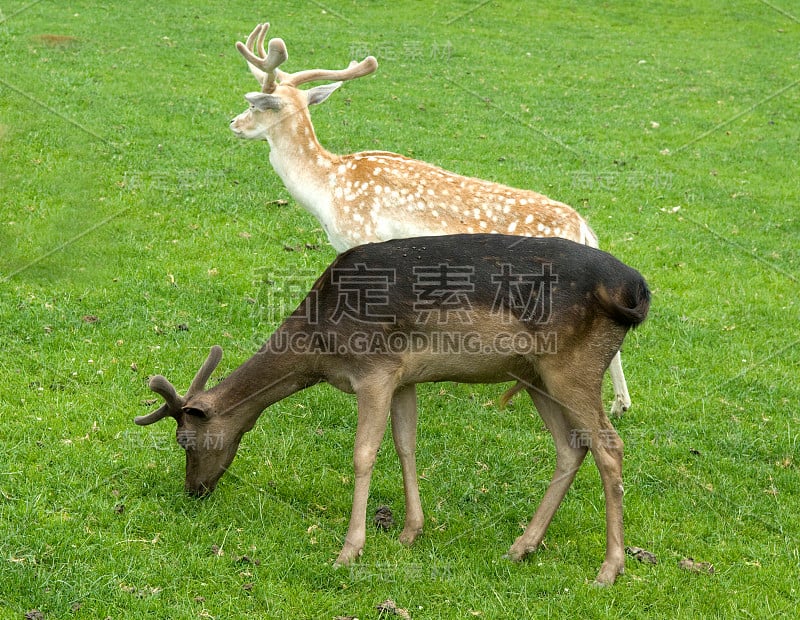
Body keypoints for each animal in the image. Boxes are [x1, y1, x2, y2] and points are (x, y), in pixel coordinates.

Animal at [136, 234, 648, 588]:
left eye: (184, 439)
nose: (194, 490)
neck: (320, 345)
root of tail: (634, 291)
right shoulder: (404, 378)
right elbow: (406, 445)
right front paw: (409, 533)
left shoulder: (374, 369)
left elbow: (364, 454)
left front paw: (349, 551)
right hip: (537, 375)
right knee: (570, 447)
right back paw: (522, 546)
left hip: (572, 368)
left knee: (610, 447)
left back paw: (609, 568)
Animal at [228, 21, 636, 416]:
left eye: (257, 105)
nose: (233, 122)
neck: (326, 188)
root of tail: (583, 228)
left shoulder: (363, 237)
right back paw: (618, 403)